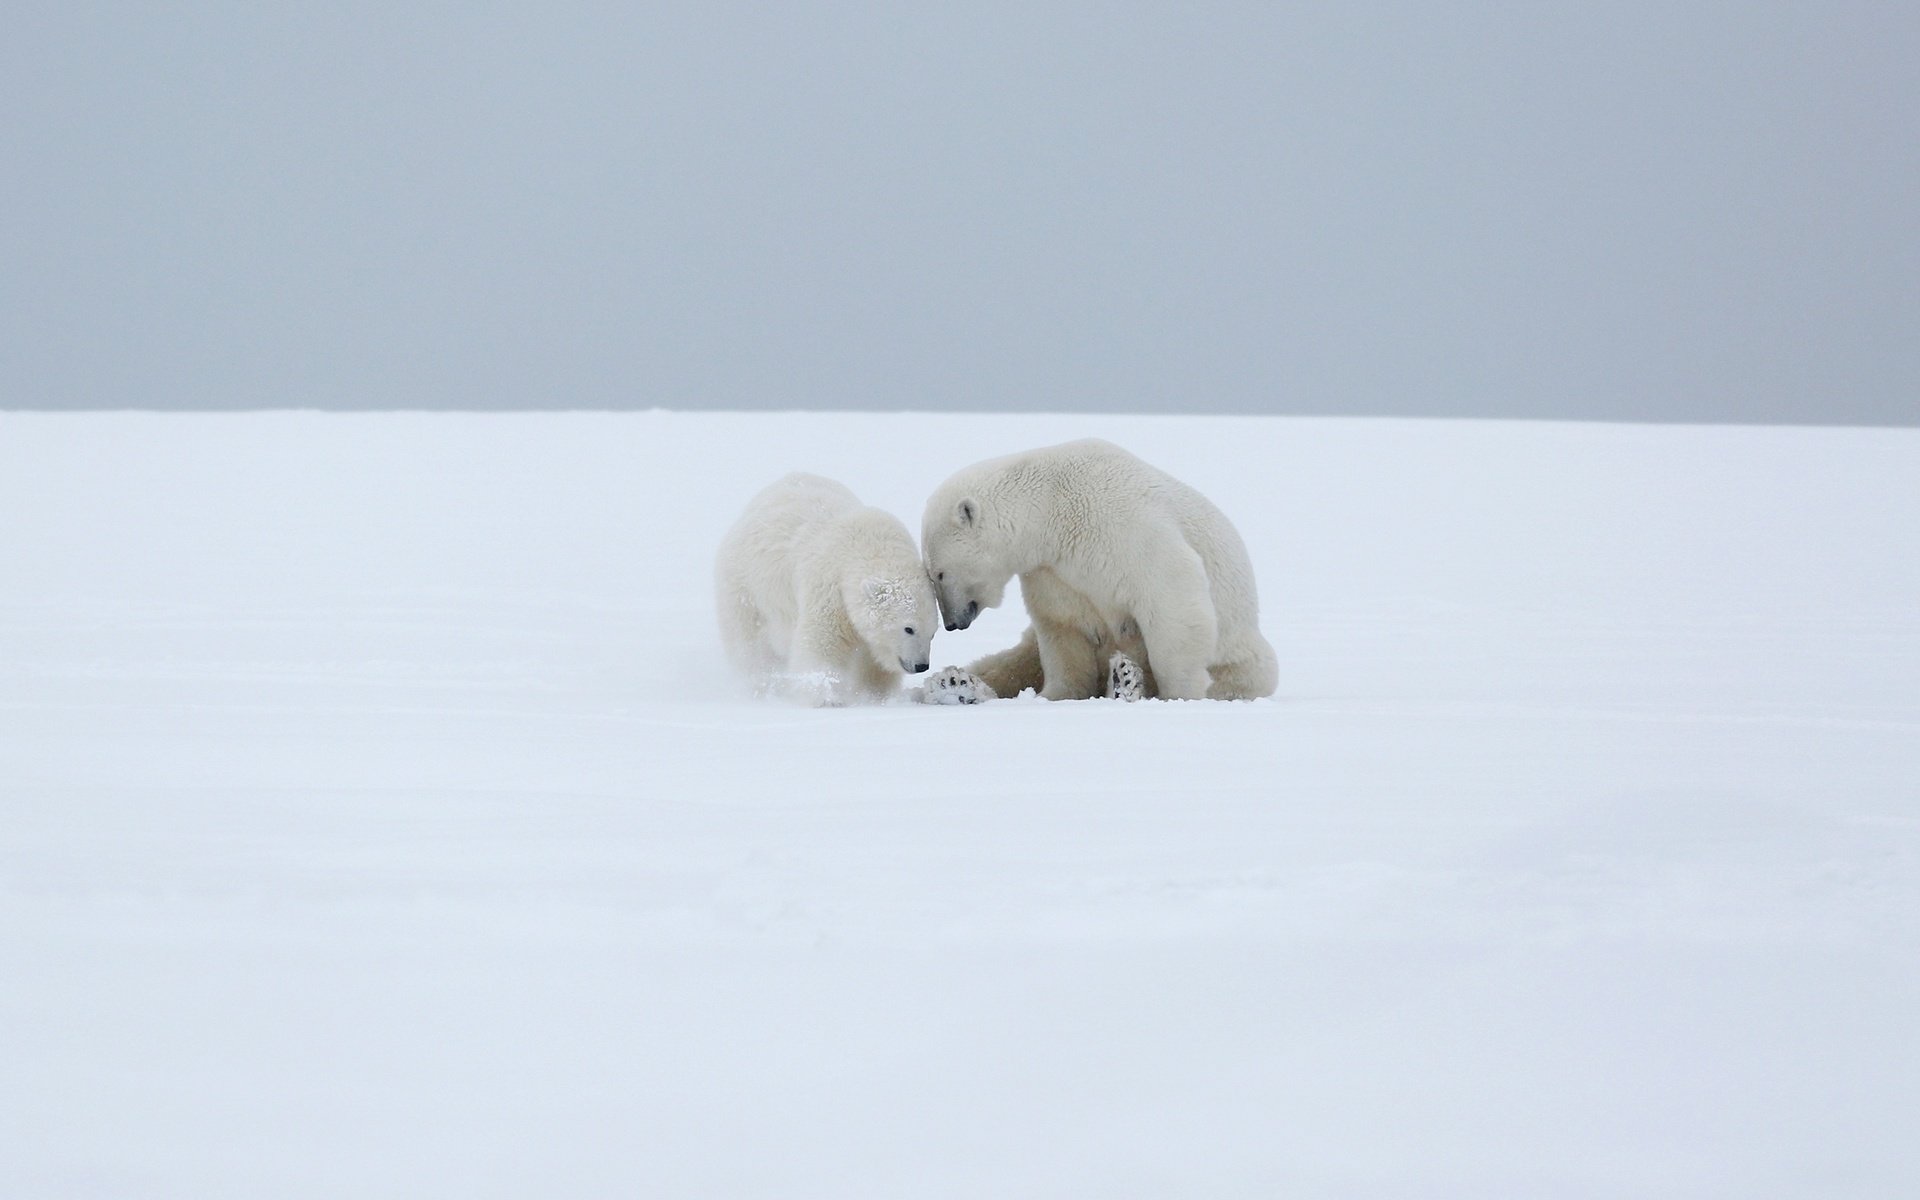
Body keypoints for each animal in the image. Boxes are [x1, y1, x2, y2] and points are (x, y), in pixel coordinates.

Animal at [718, 472, 998, 706]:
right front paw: (827, 697)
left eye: (932, 633)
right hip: (745, 585)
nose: (921, 665)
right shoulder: (829, 591)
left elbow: (873, 663)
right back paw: (760, 685)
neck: (870, 547)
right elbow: (821, 643)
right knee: (749, 644)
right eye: (908, 628)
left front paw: (875, 695)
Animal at [925, 439, 1282, 702]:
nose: (952, 623)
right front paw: (1055, 695)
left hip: (1241, 652)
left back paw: (1126, 680)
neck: (1051, 507)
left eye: (939, 573)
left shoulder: (1120, 524)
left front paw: (1180, 694)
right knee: (1012, 661)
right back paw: (953, 683)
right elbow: (1062, 630)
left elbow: (1171, 595)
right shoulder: (1051, 571)